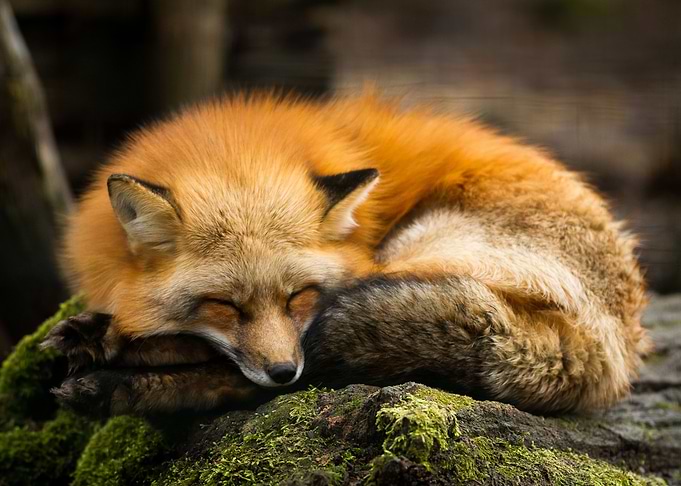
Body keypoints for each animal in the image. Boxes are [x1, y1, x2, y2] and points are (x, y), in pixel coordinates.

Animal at [42, 92, 650, 416]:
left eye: (299, 296)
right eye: (224, 306)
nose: (282, 370)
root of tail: (616, 347)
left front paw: (113, 342)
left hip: (416, 254)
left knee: (279, 374)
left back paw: (116, 377)